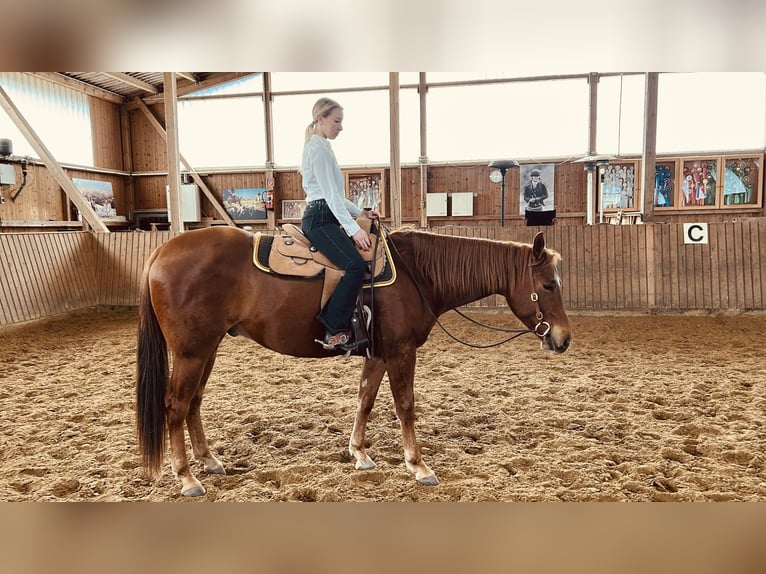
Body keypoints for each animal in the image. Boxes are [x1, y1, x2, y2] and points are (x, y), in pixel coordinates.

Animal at [136, 226, 572, 497]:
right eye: (548, 285)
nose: (563, 339)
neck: (417, 273)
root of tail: (161, 251)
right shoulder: (400, 351)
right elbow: (405, 406)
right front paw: (418, 465)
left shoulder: (379, 353)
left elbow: (365, 399)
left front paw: (359, 452)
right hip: (191, 352)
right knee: (175, 405)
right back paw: (186, 478)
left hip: (206, 349)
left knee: (193, 403)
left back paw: (208, 461)